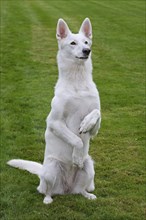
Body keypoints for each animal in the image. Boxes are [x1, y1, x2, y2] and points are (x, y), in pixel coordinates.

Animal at [7, 17, 101, 205]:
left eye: (86, 42)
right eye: (73, 43)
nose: (87, 51)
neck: (78, 81)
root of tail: (66, 189)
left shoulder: (95, 128)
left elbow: (96, 114)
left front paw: (86, 124)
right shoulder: (54, 122)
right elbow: (76, 140)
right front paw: (76, 156)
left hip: (89, 166)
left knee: (81, 190)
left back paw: (87, 195)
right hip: (51, 168)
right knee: (45, 190)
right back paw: (48, 200)